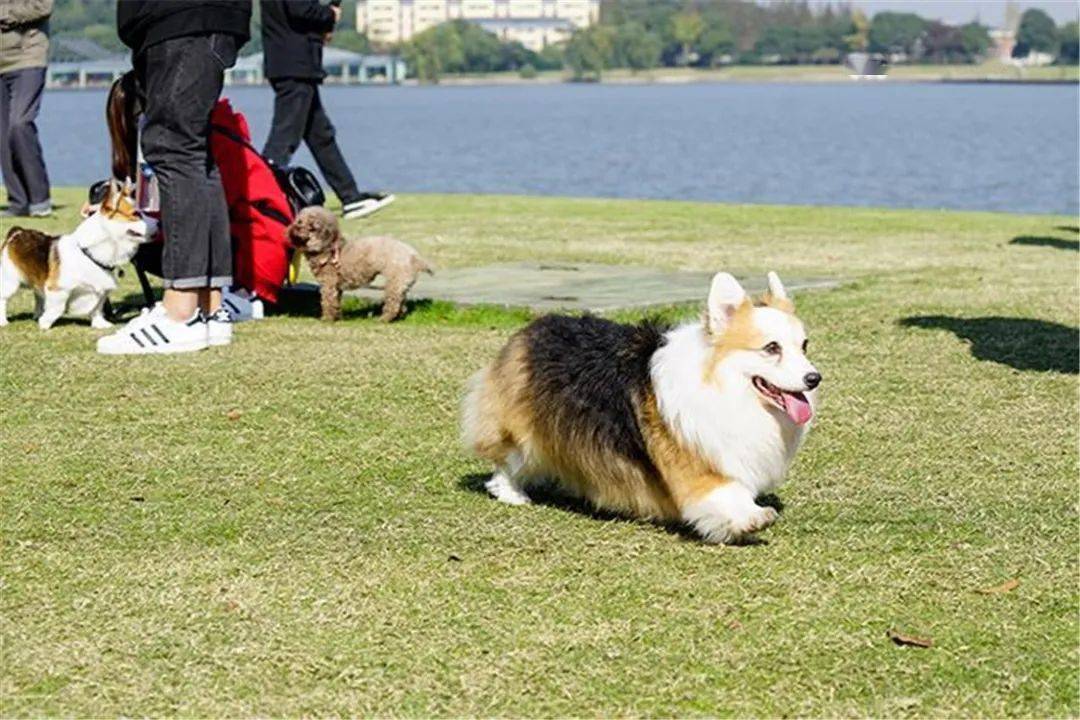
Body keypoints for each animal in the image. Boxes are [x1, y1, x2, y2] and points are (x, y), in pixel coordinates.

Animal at [0, 187, 157, 330]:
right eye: (136, 214)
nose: (159, 222)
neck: (89, 254)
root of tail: (16, 233)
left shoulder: (101, 291)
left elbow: (97, 309)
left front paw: (100, 324)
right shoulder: (58, 289)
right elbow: (57, 308)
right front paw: (45, 323)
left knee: (38, 295)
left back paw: (37, 314)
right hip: (10, 282)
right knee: (3, 299)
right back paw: (4, 321)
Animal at [285, 207, 432, 321]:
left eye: (313, 228)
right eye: (300, 221)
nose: (295, 229)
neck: (328, 248)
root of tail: (414, 257)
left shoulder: (328, 284)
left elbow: (328, 301)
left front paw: (327, 319)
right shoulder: (337, 287)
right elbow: (336, 302)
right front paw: (337, 317)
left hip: (394, 281)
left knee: (393, 304)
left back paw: (384, 319)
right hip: (401, 283)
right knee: (402, 303)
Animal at [460, 273, 820, 544]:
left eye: (803, 346)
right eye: (771, 348)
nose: (814, 378)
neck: (723, 383)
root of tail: (532, 328)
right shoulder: (692, 464)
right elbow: (724, 492)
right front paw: (752, 516)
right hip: (522, 429)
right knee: (508, 462)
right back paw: (512, 493)